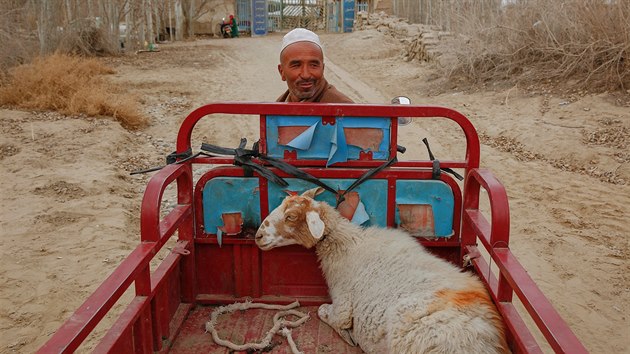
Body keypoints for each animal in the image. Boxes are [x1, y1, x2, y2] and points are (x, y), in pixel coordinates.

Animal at [254, 187, 512, 352]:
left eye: (291, 216)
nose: (258, 236)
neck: (348, 245)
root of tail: (489, 342)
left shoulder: (343, 305)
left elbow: (324, 312)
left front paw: (348, 335)